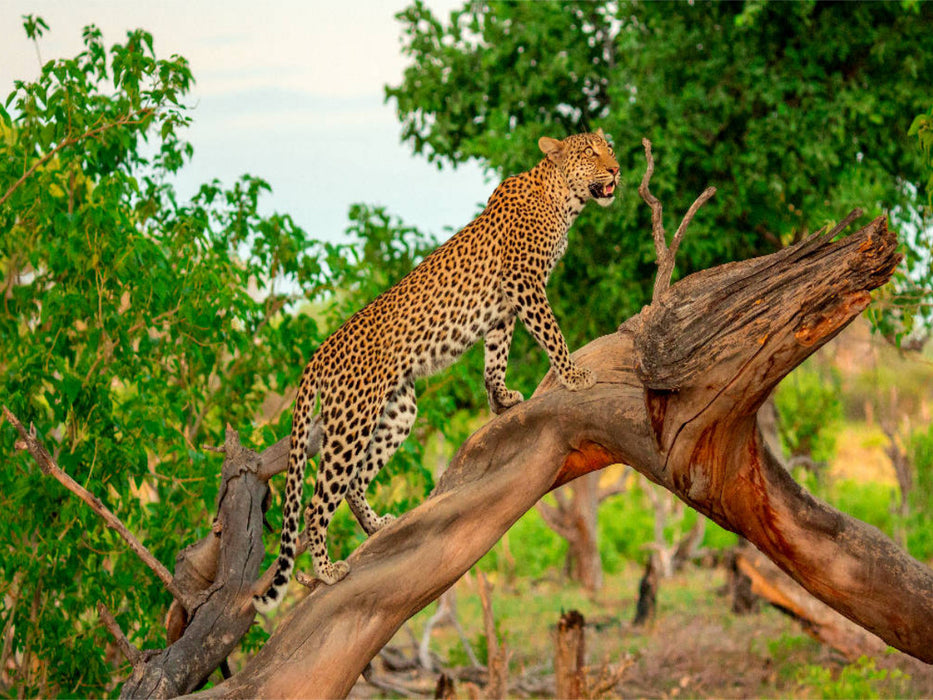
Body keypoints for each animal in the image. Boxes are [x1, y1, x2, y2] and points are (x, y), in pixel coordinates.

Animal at [253, 129, 620, 612]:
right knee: (317, 503)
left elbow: (496, 357)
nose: (617, 169)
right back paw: (328, 572)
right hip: (352, 424)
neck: (563, 199)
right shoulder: (524, 283)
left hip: (397, 411)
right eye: (590, 153)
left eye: (608, 147)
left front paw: (501, 399)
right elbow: (550, 332)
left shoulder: (504, 305)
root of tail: (318, 354)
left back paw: (378, 527)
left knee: (353, 483)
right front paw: (573, 374)